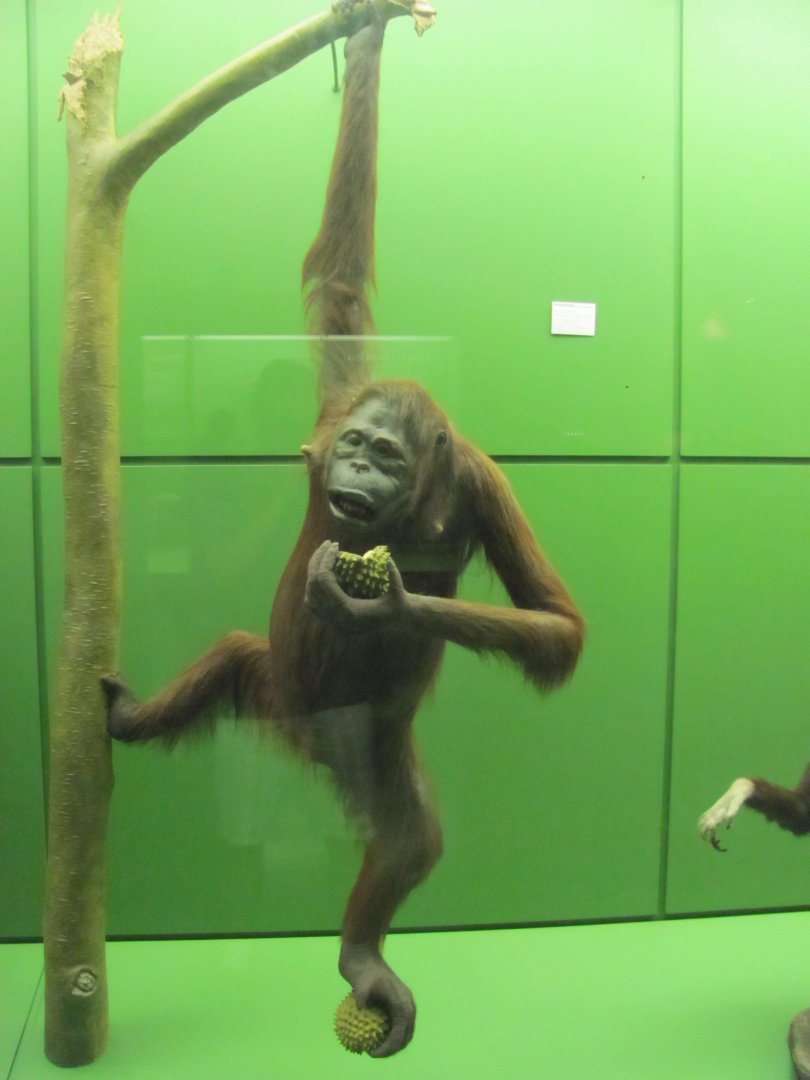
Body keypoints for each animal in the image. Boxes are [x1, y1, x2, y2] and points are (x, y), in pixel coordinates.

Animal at [103, 9, 585, 1057]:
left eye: (390, 460)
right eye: (357, 446)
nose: (357, 478)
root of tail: (302, 742)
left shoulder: (483, 483)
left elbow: (559, 628)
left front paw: (385, 603)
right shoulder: (332, 406)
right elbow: (338, 276)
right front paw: (365, 40)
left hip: (369, 746)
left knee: (409, 839)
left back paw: (362, 955)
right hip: (278, 686)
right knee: (229, 656)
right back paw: (132, 717)